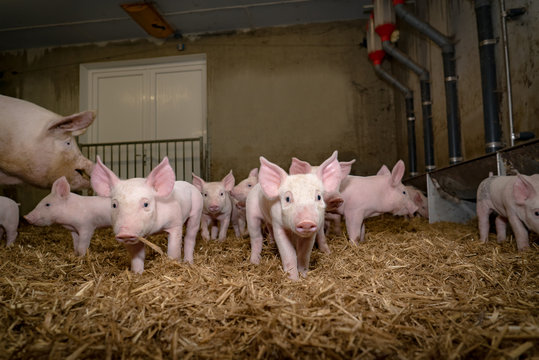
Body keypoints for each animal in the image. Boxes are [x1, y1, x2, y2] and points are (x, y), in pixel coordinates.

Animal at [247, 150, 340, 280]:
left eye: (318, 197)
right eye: (287, 198)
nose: (306, 222)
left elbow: (304, 254)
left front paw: (304, 275)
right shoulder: (278, 224)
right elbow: (288, 253)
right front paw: (294, 280)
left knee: (268, 228)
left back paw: (271, 243)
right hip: (251, 211)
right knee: (256, 238)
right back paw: (255, 262)